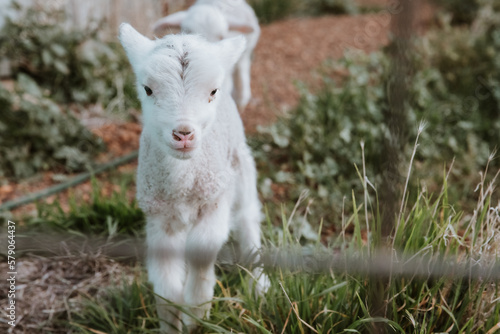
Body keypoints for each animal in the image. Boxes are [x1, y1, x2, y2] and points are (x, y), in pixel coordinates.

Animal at [119, 22, 268, 332]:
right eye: (147, 89)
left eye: (213, 91)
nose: (183, 134)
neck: (182, 186)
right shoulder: (158, 215)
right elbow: (164, 278)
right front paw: (171, 318)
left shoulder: (215, 198)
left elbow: (200, 252)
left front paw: (195, 313)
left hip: (240, 165)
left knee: (248, 217)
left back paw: (259, 285)